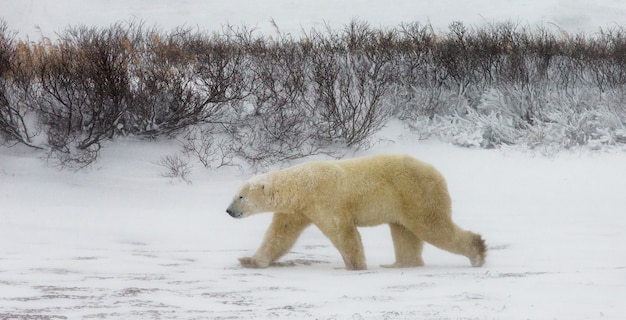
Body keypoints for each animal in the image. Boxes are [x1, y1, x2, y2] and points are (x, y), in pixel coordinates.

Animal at [225, 154, 488, 270]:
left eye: (240, 196)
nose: (228, 211)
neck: (301, 185)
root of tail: (437, 173)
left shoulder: (325, 199)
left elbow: (343, 232)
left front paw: (355, 265)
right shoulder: (297, 210)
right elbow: (279, 235)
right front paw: (250, 260)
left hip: (415, 194)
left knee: (432, 226)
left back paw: (477, 252)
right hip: (403, 202)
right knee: (404, 232)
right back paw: (399, 264)